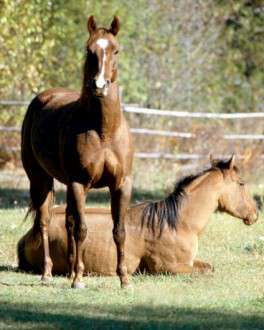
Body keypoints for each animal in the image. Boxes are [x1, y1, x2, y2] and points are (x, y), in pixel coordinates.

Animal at [18, 157, 258, 276]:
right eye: (241, 183)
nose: (255, 214)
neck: (177, 223)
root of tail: (31, 234)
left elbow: (208, 267)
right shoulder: (168, 269)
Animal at [20, 16, 133, 288]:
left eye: (116, 50)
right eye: (88, 50)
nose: (99, 85)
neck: (103, 131)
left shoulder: (122, 184)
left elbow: (119, 231)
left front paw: (124, 279)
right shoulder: (79, 184)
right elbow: (82, 229)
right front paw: (79, 279)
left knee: (68, 222)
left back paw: (69, 271)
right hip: (40, 180)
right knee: (45, 222)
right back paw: (48, 273)